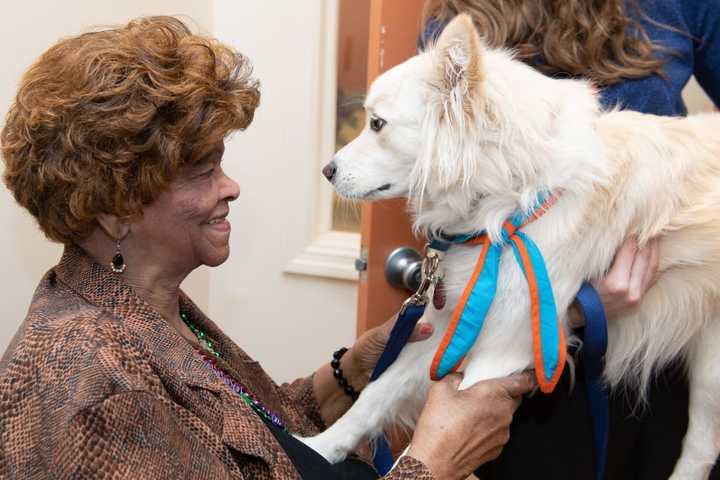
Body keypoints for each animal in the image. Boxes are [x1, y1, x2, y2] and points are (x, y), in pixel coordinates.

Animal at [302, 13, 720, 478]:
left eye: (377, 124)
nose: (326, 170)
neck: (510, 204)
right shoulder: (446, 329)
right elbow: (375, 395)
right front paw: (319, 446)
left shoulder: (504, 348)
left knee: (702, 446)